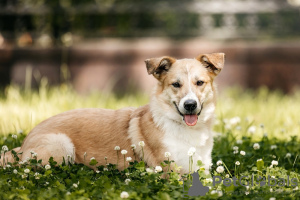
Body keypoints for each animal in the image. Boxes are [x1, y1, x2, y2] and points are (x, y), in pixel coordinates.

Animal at [3, 52, 225, 173]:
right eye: (176, 84)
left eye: (199, 83)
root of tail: (23, 144)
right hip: (61, 146)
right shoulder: (173, 172)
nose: (190, 105)